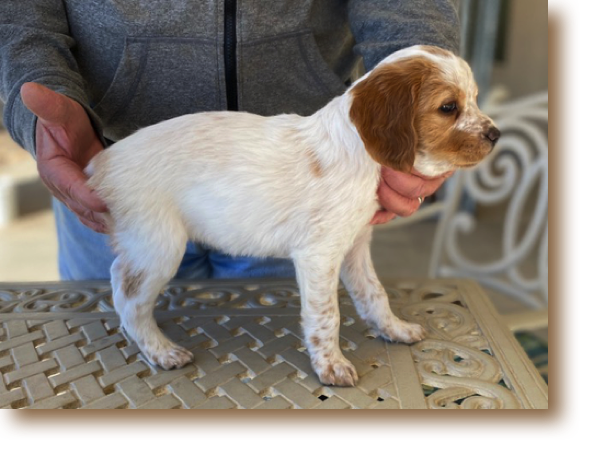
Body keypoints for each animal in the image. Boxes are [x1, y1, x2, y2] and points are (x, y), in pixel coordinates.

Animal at [85, 45, 498, 384]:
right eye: (448, 107)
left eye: (475, 99)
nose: (495, 134)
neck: (359, 153)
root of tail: (104, 161)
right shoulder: (319, 255)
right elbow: (327, 314)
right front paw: (331, 366)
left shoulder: (356, 244)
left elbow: (374, 293)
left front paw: (393, 329)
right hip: (160, 244)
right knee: (128, 296)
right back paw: (161, 350)